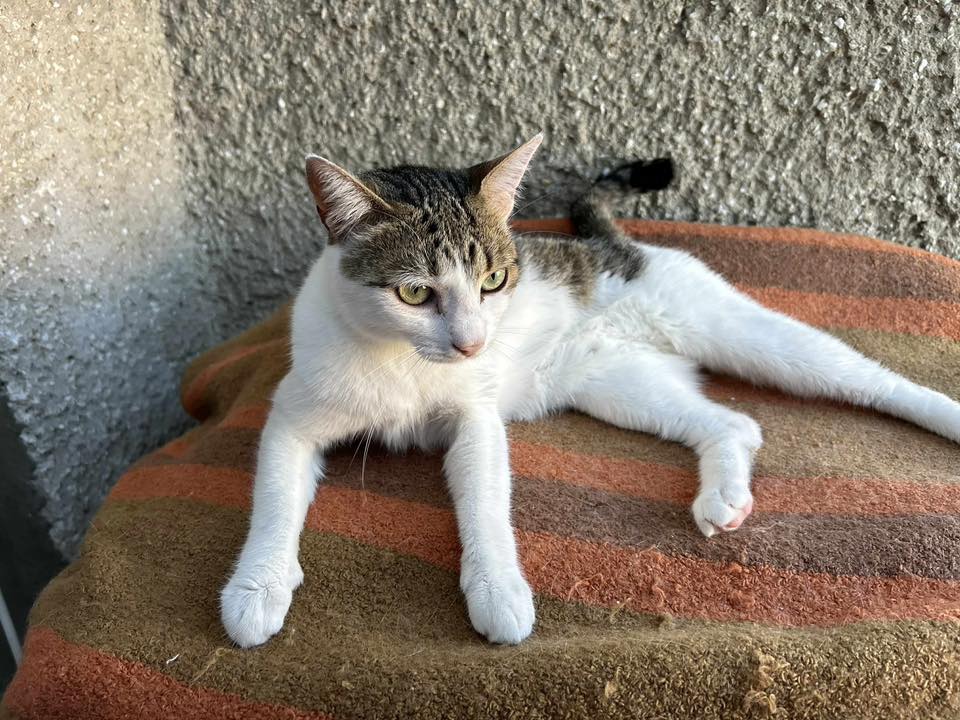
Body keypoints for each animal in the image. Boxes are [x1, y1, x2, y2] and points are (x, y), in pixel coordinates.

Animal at [221, 134, 960, 648]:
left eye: (494, 281)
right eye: (413, 293)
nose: (473, 344)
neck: (403, 360)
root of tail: (609, 245)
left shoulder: (475, 420)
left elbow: (484, 503)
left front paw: (498, 588)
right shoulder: (293, 413)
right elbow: (275, 498)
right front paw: (257, 586)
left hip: (740, 332)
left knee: (865, 381)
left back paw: (938, 414)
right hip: (619, 382)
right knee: (734, 424)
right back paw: (724, 497)